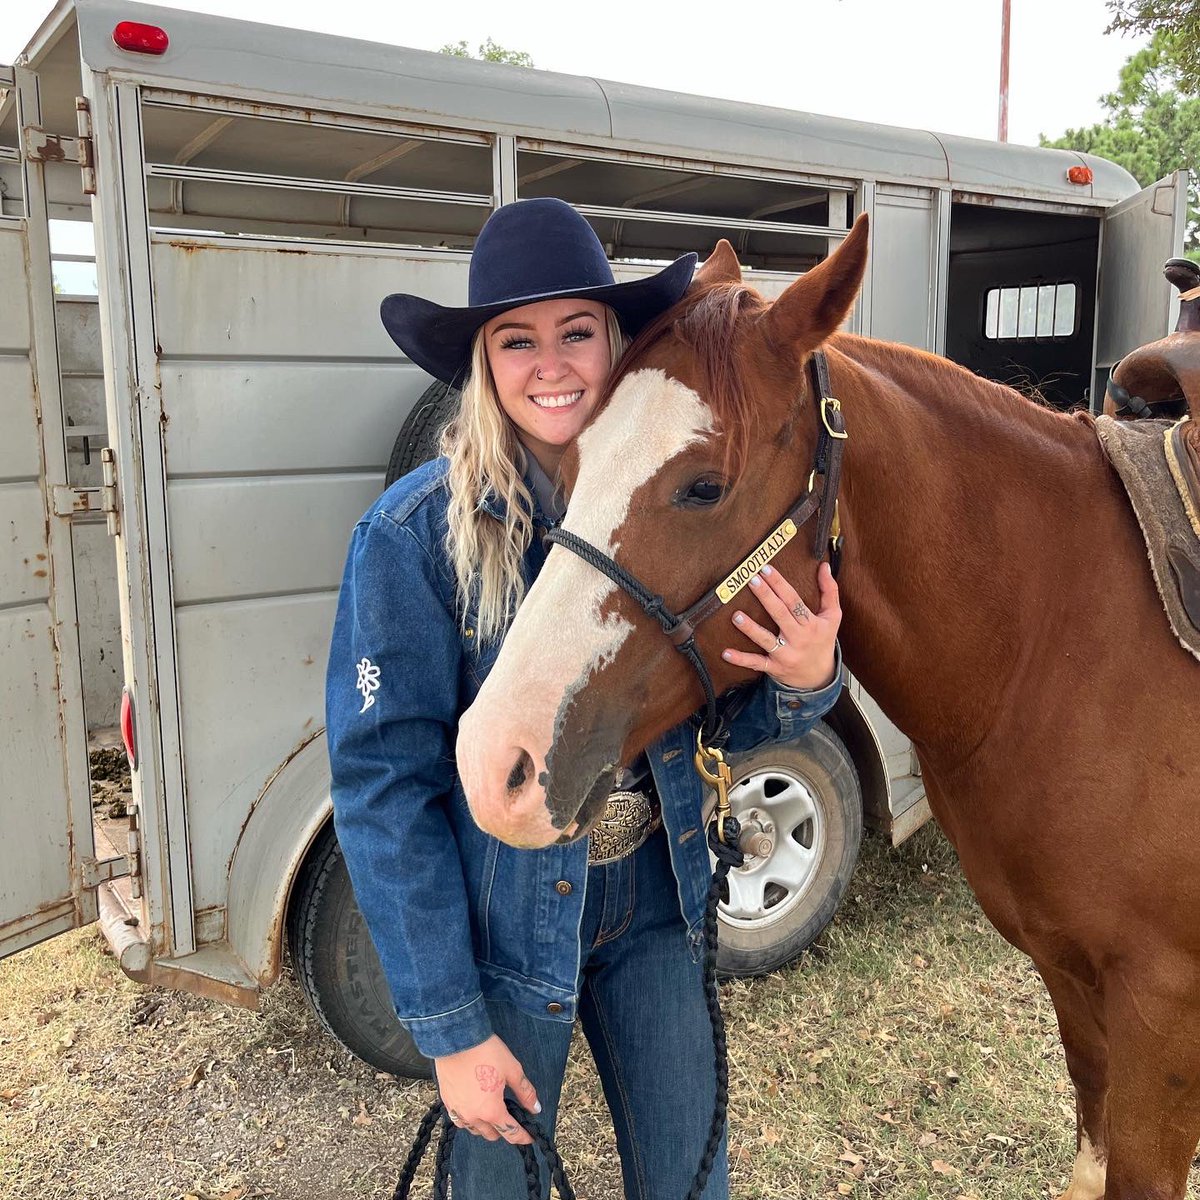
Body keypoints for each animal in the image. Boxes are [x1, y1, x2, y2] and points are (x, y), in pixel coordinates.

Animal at [455, 215, 1200, 1199]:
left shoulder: (1163, 1014)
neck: (1066, 640)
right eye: (571, 462)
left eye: (705, 485)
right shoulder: (1075, 983)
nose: (495, 760)